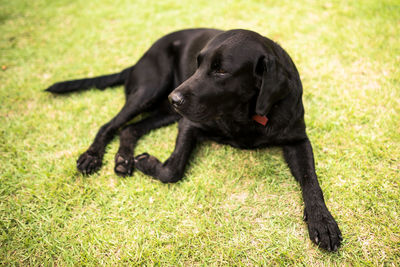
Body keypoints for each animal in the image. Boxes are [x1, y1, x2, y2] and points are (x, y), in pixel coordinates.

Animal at [46, 28, 340, 252]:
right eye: (198, 64)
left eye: (221, 70)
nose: (174, 98)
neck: (247, 114)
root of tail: (142, 56)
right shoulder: (189, 124)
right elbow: (173, 170)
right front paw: (147, 163)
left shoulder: (298, 140)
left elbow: (311, 181)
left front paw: (322, 222)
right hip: (151, 91)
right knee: (109, 125)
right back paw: (92, 157)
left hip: (164, 111)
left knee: (129, 130)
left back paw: (123, 159)